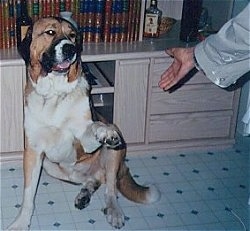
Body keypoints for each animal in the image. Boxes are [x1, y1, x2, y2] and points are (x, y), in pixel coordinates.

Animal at [7, 17, 160, 230]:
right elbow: (28, 194)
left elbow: (93, 128)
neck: (55, 94)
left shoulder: (84, 139)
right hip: (51, 166)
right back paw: (84, 196)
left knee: (110, 187)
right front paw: (21, 222)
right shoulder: (33, 152)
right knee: (94, 180)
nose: (71, 48)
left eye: (72, 36)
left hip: (114, 154)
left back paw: (113, 211)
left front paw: (105, 133)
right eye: (50, 32)